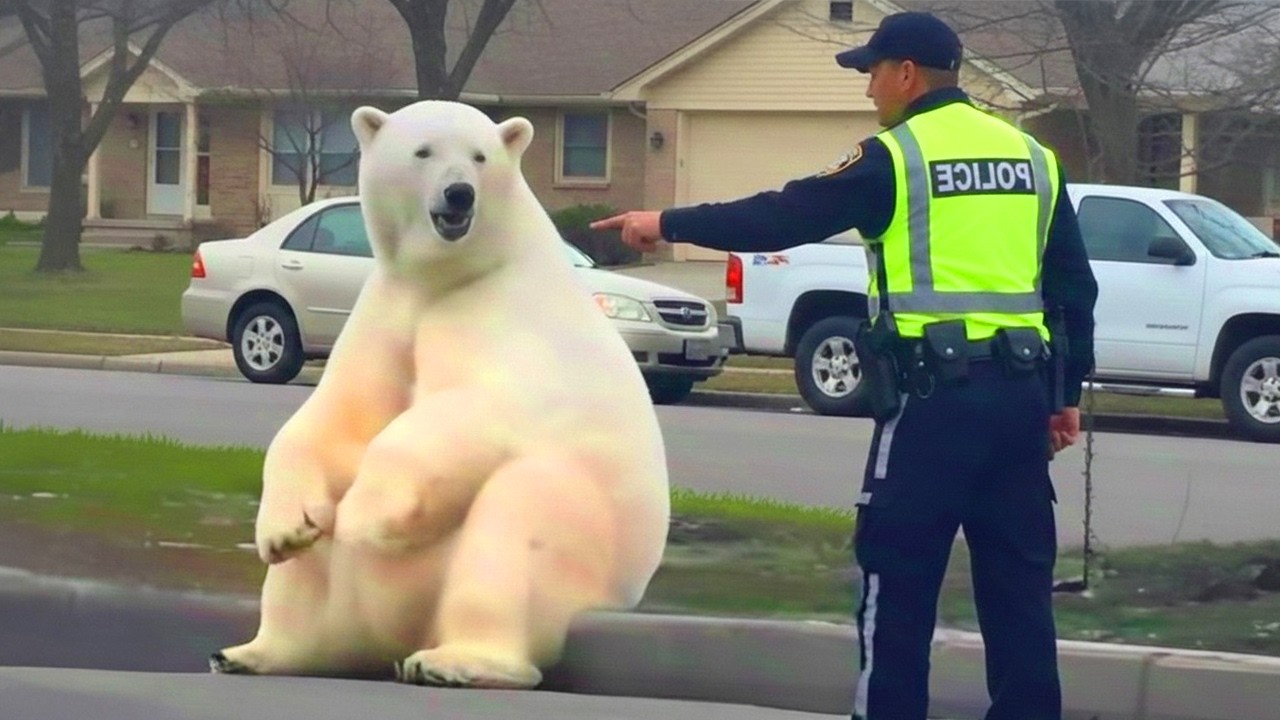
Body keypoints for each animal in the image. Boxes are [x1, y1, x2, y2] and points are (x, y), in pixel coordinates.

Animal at [211, 100, 671, 689]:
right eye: (423, 150)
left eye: (479, 156)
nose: (459, 194)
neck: (454, 275)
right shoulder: (387, 310)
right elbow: (338, 418)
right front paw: (285, 529)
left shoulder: (505, 318)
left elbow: (479, 407)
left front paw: (362, 515)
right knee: (309, 585)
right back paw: (256, 650)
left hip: (576, 541)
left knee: (519, 519)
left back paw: (456, 661)